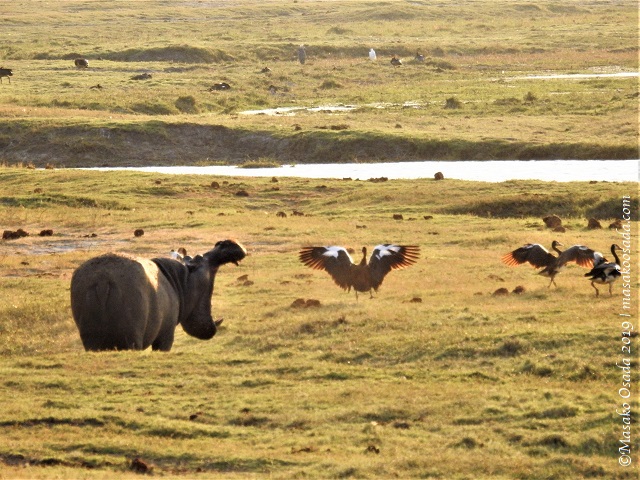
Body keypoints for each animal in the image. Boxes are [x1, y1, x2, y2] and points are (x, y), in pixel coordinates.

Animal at [70, 239, 246, 351]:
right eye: (198, 257)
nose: (225, 242)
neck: (181, 279)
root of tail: (103, 280)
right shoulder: (166, 335)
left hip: (91, 338)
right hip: (131, 336)